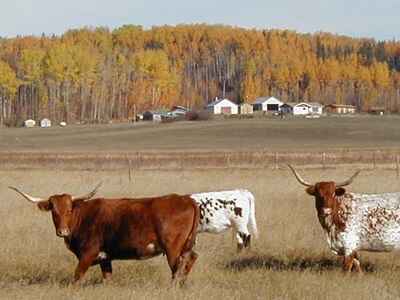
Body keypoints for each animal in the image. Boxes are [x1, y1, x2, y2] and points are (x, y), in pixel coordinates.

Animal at [10, 184, 200, 284]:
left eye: (69, 210)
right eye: (54, 211)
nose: (62, 231)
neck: (82, 216)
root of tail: (186, 199)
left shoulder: (88, 254)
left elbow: (77, 277)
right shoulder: (105, 258)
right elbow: (107, 278)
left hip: (173, 248)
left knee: (178, 267)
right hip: (185, 246)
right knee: (190, 260)